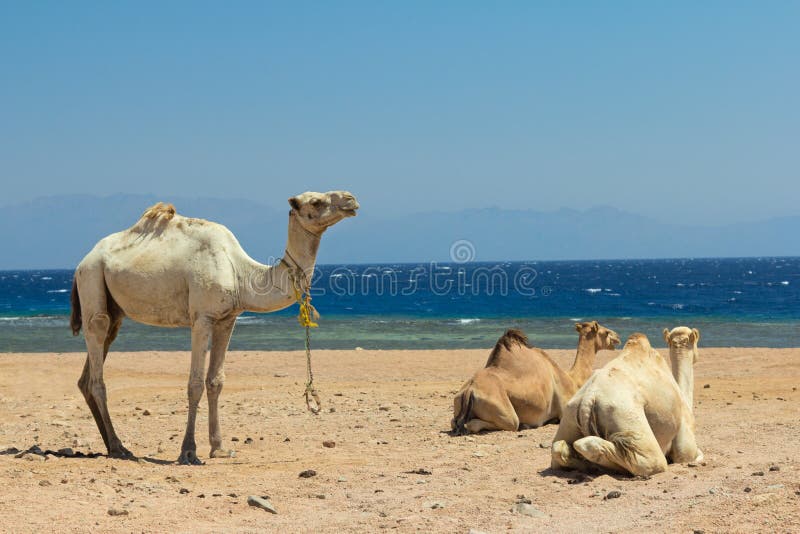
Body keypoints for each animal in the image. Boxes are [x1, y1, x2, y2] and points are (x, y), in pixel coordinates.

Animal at [70, 191, 359, 465]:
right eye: (316, 202)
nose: (351, 199)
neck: (241, 273)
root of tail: (81, 262)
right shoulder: (202, 318)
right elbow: (195, 383)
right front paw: (188, 451)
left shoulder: (227, 319)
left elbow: (216, 381)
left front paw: (219, 448)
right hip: (92, 279)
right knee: (97, 363)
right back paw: (119, 447)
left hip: (113, 308)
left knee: (90, 371)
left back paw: (110, 445)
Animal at [451, 321, 620, 434]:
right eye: (605, 332)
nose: (617, 337)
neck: (572, 379)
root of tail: (469, 390)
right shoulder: (564, 410)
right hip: (504, 411)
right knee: (488, 424)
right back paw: (523, 425)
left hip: (458, 401)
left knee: (454, 422)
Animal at [550, 329, 703, 477]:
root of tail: (589, 399)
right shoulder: (685, 443)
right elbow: (691, 455)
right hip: (622, 413)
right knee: (649, 460)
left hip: (569, 414)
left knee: (558, 450)